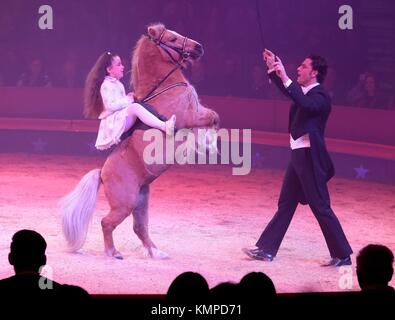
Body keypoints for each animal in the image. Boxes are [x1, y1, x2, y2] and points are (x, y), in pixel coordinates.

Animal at [61, 23, 220, 260]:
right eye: (172, 38)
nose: (198, 47)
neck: (164, 91)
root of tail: (102, 173)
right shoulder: (190, 116)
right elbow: (212, 118)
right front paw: (207, 143)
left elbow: (213, 117)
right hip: (124, 204)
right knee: (107, 223)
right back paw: (113, 252)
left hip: (141, 201)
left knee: (140, 227)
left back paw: (157, 253)